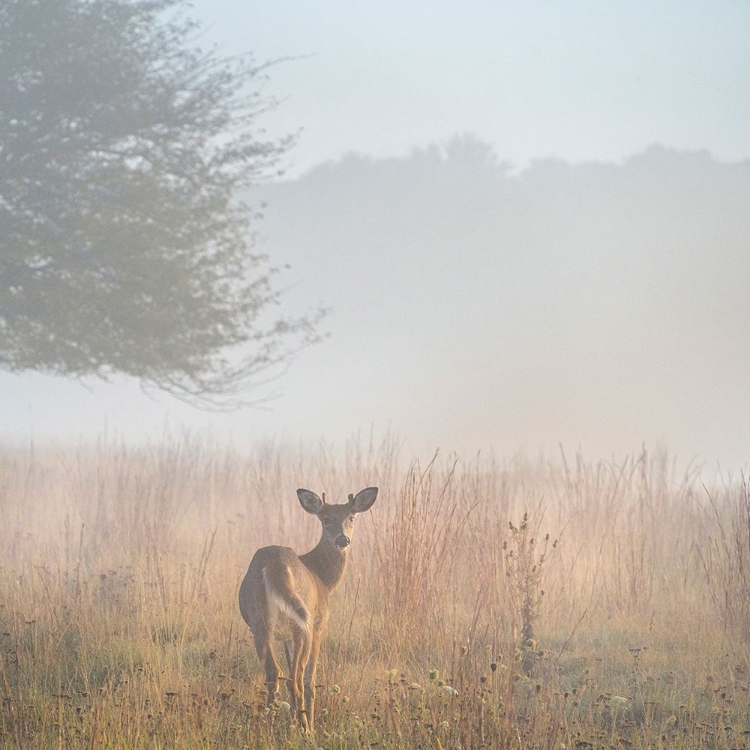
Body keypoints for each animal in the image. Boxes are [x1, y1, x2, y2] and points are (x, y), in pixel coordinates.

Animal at [241, 488, 378, 736]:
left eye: (351, 517)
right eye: (326, 520)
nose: (343, 539)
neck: (323, 578)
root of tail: (275, 566)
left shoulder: (285, 636)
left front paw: (293, 720)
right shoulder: (320, 623)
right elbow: (310, 679)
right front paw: (308, 724)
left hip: (260, 620)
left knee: (275, 672)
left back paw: (270, 725)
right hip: (302, 622)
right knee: (295, 677)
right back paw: (306, 729)